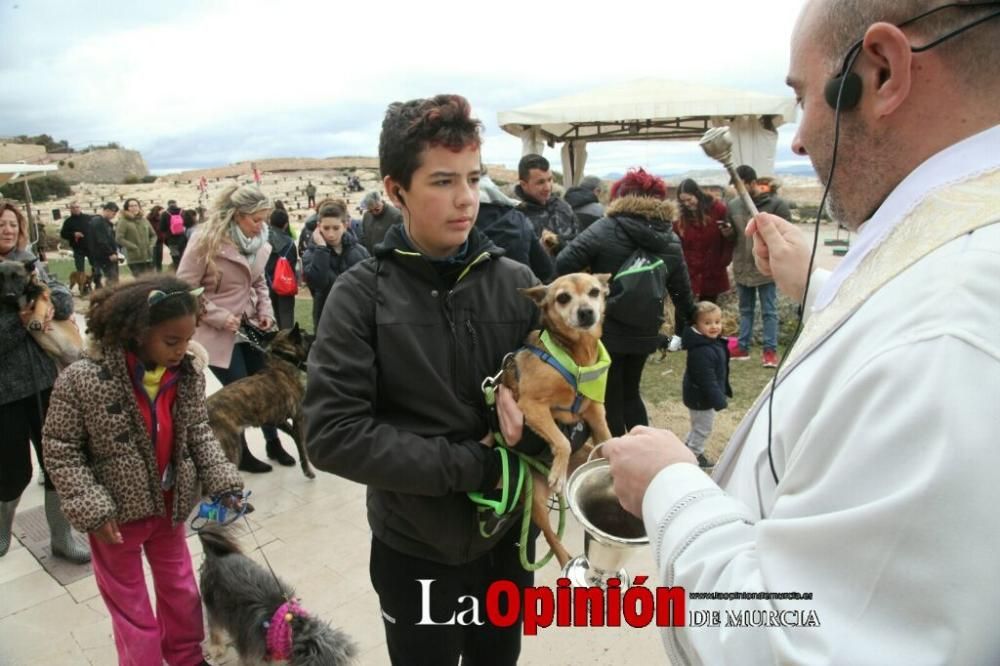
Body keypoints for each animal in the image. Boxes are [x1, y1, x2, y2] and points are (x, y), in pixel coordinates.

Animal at [210, 322, 316, 474]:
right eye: (305, 335)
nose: (316, 335)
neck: (284, 363)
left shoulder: (276, 419)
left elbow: (295, 437)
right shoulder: (298, 419)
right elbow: (302, 448)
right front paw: (308, 470)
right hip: (230, 448)